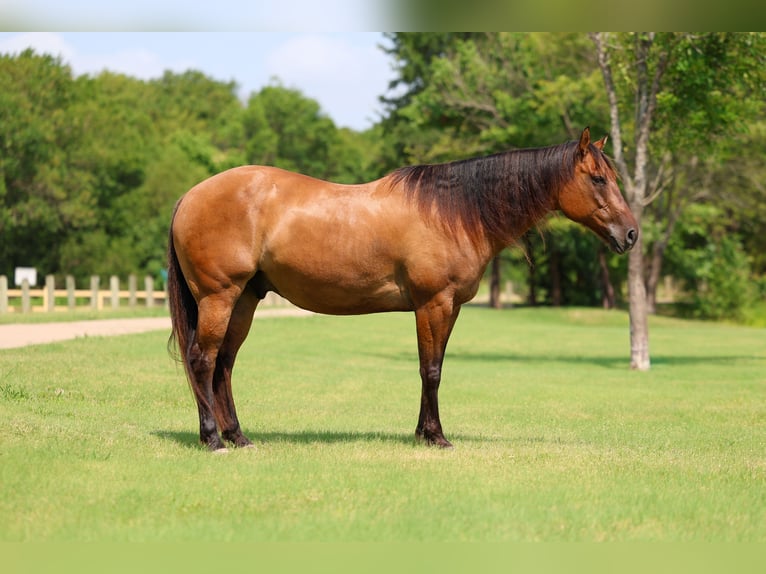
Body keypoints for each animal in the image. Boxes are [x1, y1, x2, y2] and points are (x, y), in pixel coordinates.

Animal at [167, 127, 638, 452]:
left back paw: (238, 436)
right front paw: (437, 437)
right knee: (203, 359)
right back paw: (213, 440)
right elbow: (431, 370)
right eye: (598, 179)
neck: (454, 212)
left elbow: (434, 367)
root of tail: (190, 195)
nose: (631, 234)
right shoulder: (433, 304)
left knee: (224, 364)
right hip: (219, 296)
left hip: (245, 299)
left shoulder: (450, 308)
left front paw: (424, 433)